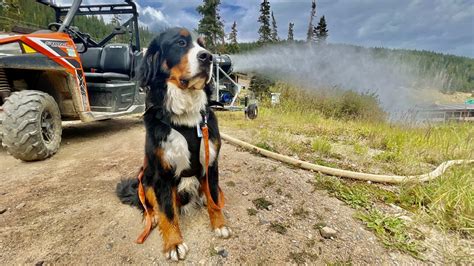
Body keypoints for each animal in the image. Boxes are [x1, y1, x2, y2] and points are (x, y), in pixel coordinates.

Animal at [116, 28, 231, 260]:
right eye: (180, 43)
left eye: (203, 45)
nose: (208, 57)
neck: (186, 118)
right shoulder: (162, 173)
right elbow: (168, 212)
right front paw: (174, 244)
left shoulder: (211, 163)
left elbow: (214, 197)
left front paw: (219, 224)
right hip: (146, 178)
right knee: (152, 205)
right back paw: (154, 216)